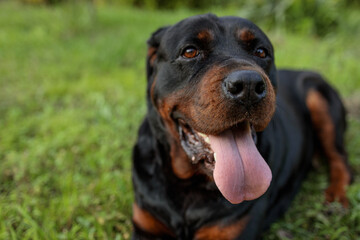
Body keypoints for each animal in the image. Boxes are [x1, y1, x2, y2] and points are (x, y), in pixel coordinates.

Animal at [131, 14, 352, 239]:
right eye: (190, 51)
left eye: (261, 52)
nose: (248, 85)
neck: (190, 184)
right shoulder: (145, 226)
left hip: (317, 94)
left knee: (341, 161)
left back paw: (336, 198)